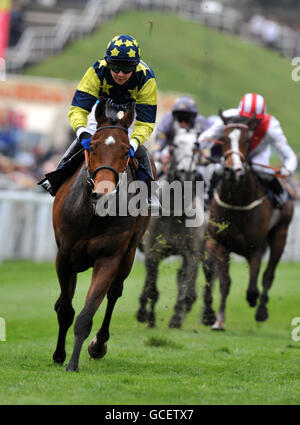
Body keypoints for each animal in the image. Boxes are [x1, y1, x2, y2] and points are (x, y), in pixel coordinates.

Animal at [51, 97, 156, 370]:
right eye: (94, 146)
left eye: (126, 151)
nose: (104, 193)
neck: (93, 215)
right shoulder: (64, 256)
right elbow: (66, 310)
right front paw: (59, 355)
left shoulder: (109, 257)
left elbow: (87, 314)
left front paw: (74, 362)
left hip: (129, 255)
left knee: (114, 293)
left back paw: (99, 345)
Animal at [137, 126, 205, 328]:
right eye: (175, 145)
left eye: (196, 145)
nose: (187, 172)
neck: (175, 213)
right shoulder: (153, 251)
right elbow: (152, 288)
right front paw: (148, 316)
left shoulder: (191, 253)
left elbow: (185, 283)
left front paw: (176, 318)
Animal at [202, 117, 292, 330]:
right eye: (224, 138)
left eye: (247, 140)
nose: (233, 169)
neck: (238, 204)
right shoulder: (222, 243)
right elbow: (224, 283)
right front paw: (218, 319)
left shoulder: (255, 248)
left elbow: (253, 287)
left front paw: (253, 302)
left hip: (281, 234)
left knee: (268, 275)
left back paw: (261, 310)